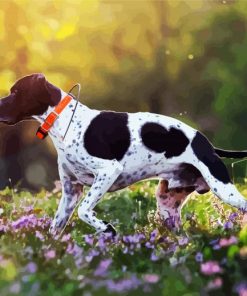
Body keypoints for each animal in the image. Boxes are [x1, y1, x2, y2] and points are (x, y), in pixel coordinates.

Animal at [0, 74, 247, 236]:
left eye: (16, 92)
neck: (66, 122)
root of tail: (208, 145)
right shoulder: (71, 191)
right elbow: (55, 228)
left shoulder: (107, 172)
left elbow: (84, 211)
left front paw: (106, 228)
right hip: (167, 206)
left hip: (223, 189)